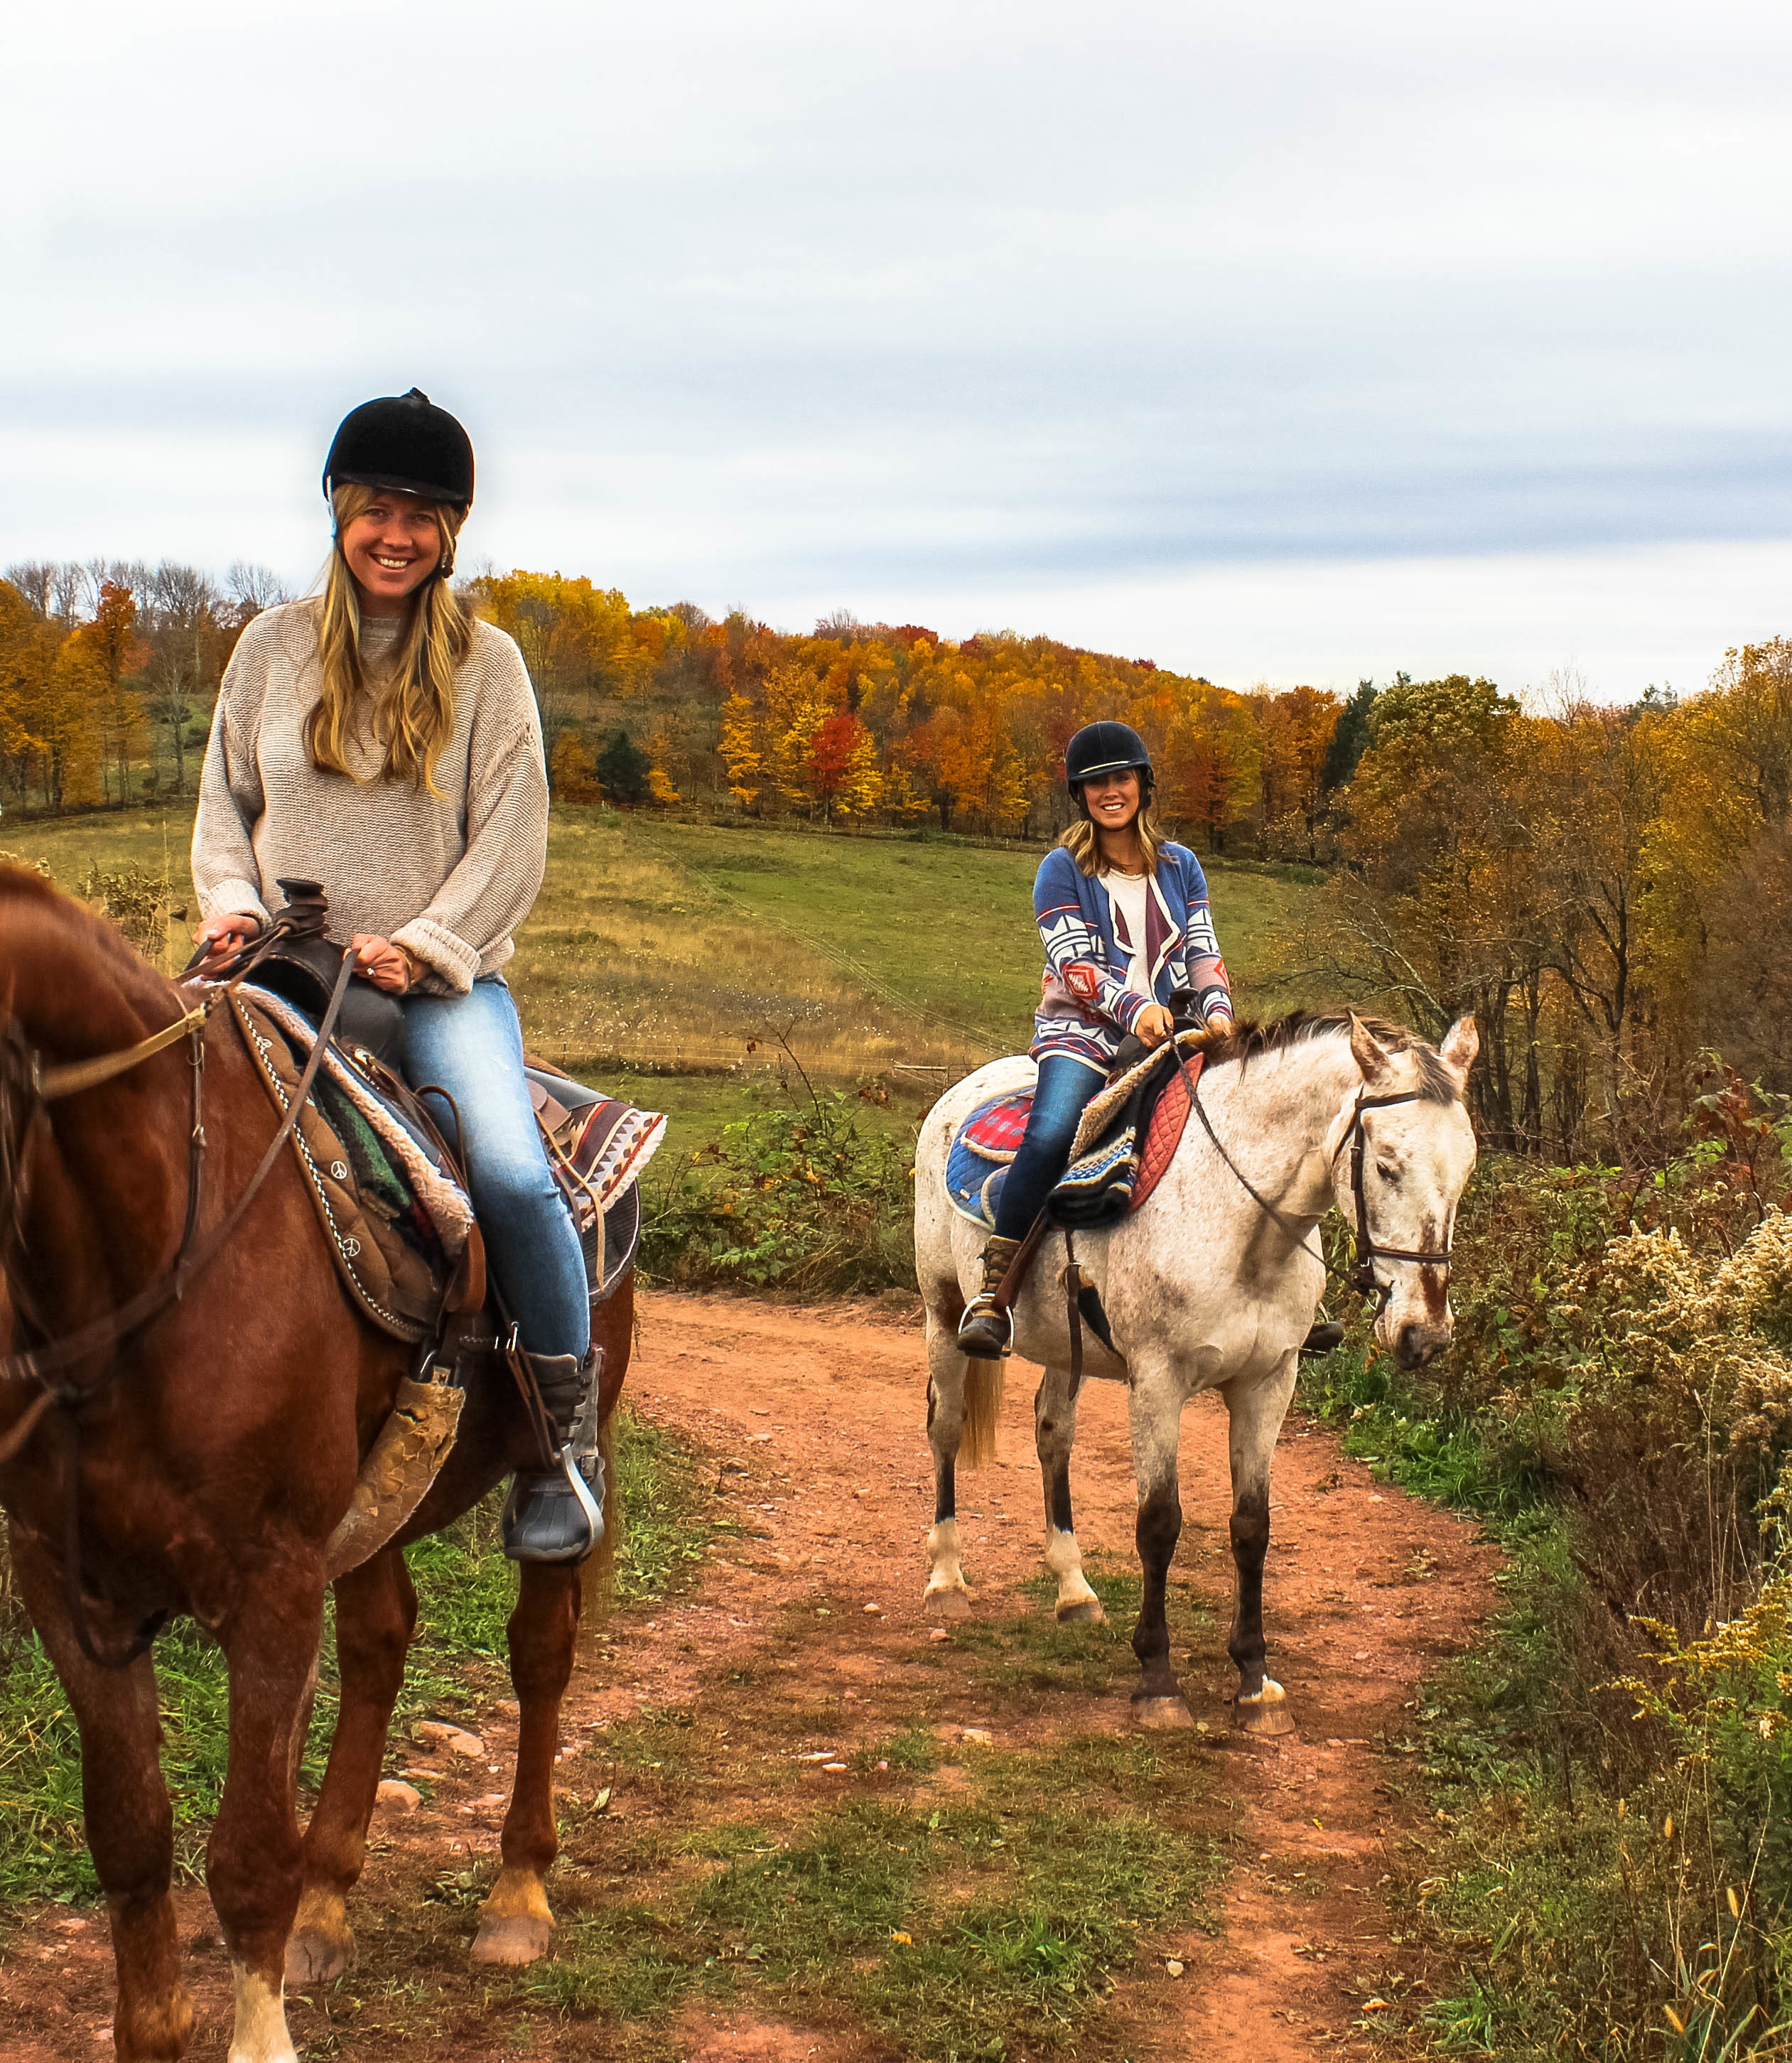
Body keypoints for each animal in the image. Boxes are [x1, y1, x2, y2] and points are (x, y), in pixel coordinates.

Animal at [0, 871, 631, 2063]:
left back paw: (517, 1891)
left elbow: (247, 1854)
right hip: (374, 1503)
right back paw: (331, 1903)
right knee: (381, 1643)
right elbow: (132, 1837)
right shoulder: (71, 1590)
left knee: (540, 1652)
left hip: (563, 1464)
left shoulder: (272, 1580)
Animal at [915, 1006, 1476, 1733]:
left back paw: (1073, 1590)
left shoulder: (1269, 1384)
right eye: (1385, 1166)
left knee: (1052, 1438)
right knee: (947, 1430)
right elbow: (1159, 1523)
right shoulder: (1157, 1382)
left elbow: (1252, 1527)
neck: (1242, 1230)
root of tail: (960, 1091)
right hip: (940, 1311)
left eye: (1467, 1170)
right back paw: (946, 1579)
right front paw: (1158, 1682)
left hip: (1067, 1348)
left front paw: (1256, 1681)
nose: (1424, 1335)